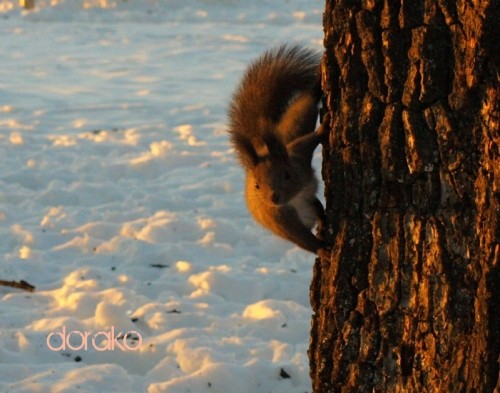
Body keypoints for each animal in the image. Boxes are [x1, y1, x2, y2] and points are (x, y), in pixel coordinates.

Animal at [226, 44, 328, 258]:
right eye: (257, 185)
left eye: (286, 174)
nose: (274, 197)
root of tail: (262, 148)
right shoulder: (279, 219)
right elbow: (300, 238)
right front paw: (324, 250)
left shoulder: (298, 155)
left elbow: (309, 140)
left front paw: (323, 130)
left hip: (291, 134)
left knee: (303, 109)